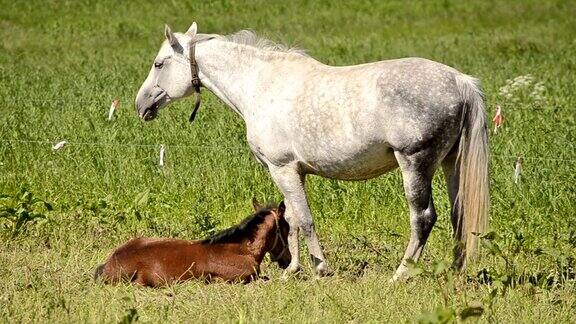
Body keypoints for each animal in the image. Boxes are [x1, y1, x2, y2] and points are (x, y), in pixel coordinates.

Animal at [136, 23, 490, 280]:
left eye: (158, 63)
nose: (140, 105)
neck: (262, 86)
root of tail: (460, 81)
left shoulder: (282, 168)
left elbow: (304, 220)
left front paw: (320, 268)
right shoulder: (293, 172)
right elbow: (291, 218)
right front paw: (293, 270)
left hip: (415, 164)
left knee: (423, 218)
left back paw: (400, 274)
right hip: (450, 163)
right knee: (459, 215)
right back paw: (455, 271)